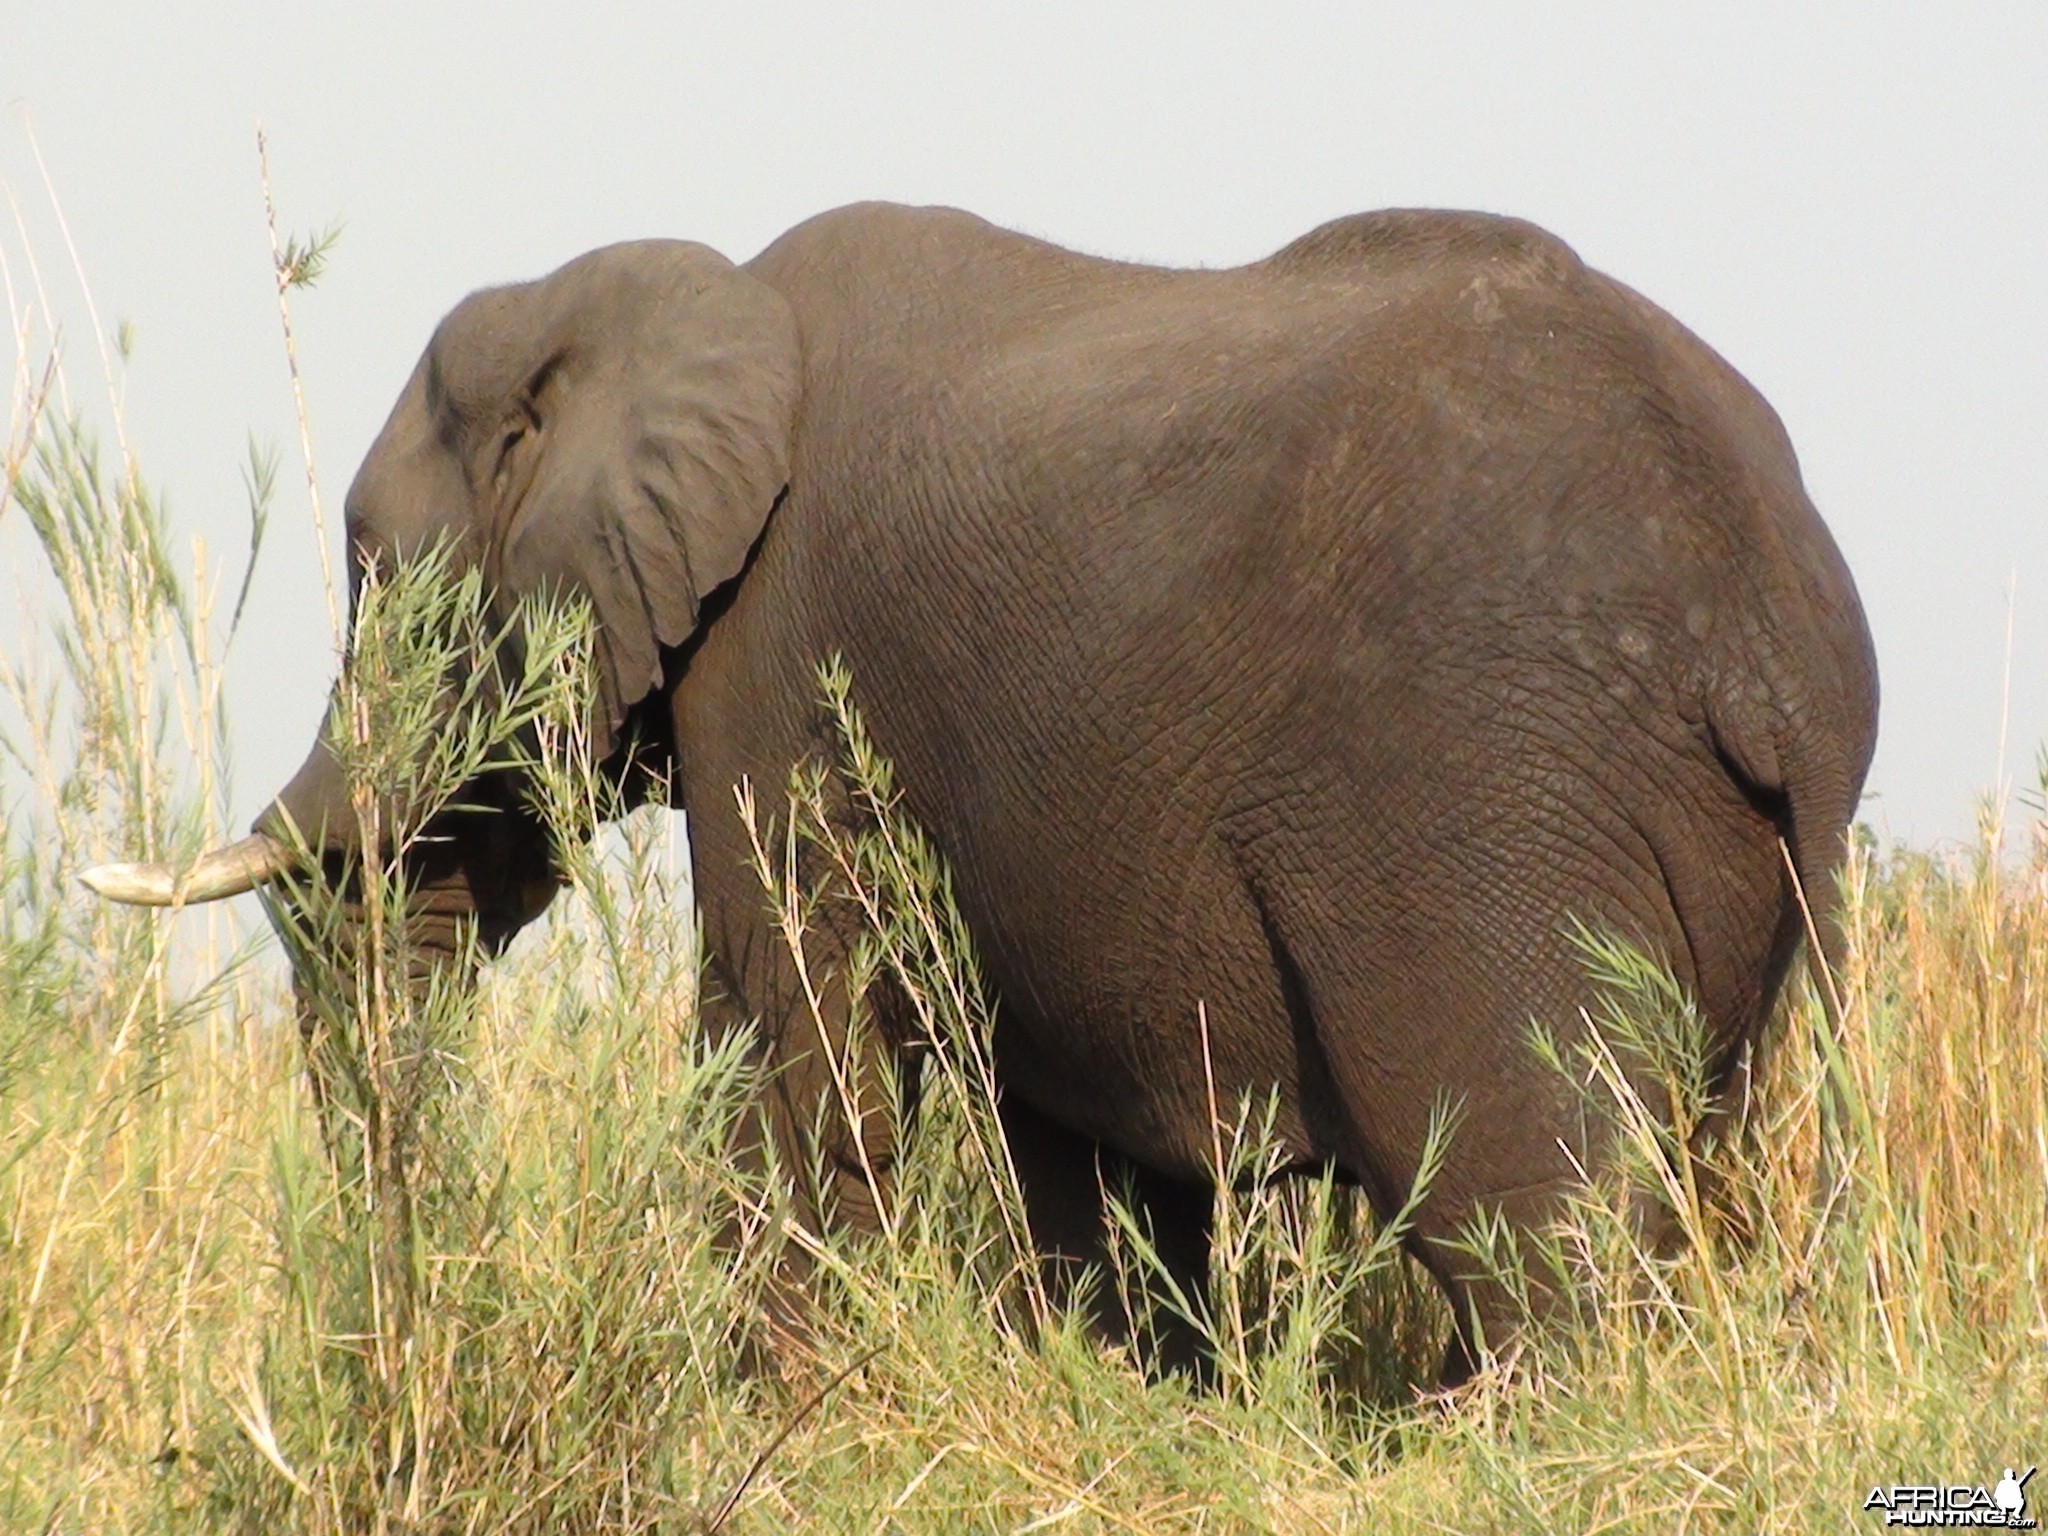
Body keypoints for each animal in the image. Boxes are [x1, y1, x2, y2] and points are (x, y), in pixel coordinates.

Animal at [96, 201, 1884, 1384]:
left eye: (364, 562)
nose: (406, 1323)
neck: (684, 303)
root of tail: (1768, 640)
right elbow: (1072, 1130)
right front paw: (1118, 1391)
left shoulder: (778, 663)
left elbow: (788, 1037)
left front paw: (768, 1418)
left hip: (1484, 809)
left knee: (1534, 1215)